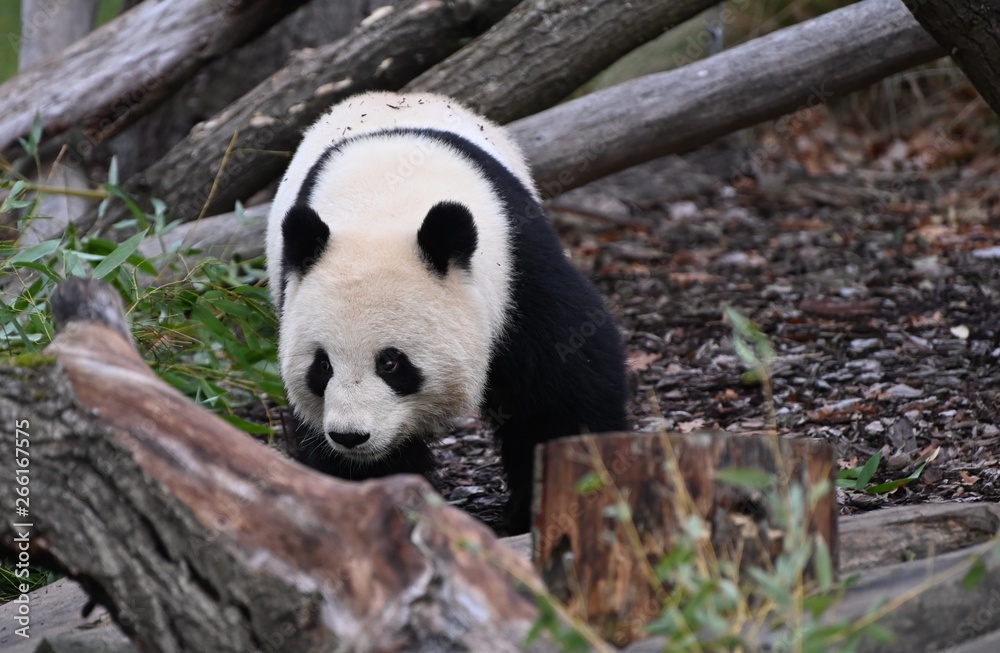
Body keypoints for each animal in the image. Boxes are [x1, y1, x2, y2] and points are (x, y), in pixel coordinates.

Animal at [267, 91, 628, 533]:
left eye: (391, 363)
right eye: (322, 365)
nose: (351, 436)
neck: (386, 198)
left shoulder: (518, 267)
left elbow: (562, 383)